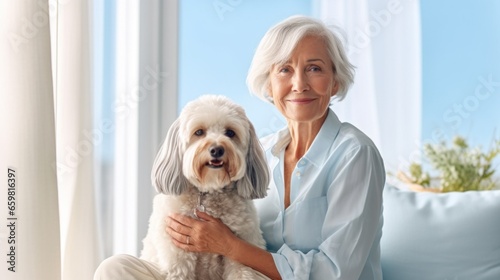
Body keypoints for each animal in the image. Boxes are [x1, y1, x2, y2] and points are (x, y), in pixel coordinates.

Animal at [139, 95, 272, 278]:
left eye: (230, 133)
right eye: (199, 132)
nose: (217, 150)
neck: (208, 191)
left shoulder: (241, 252)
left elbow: (242, 272)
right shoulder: (178, 256)